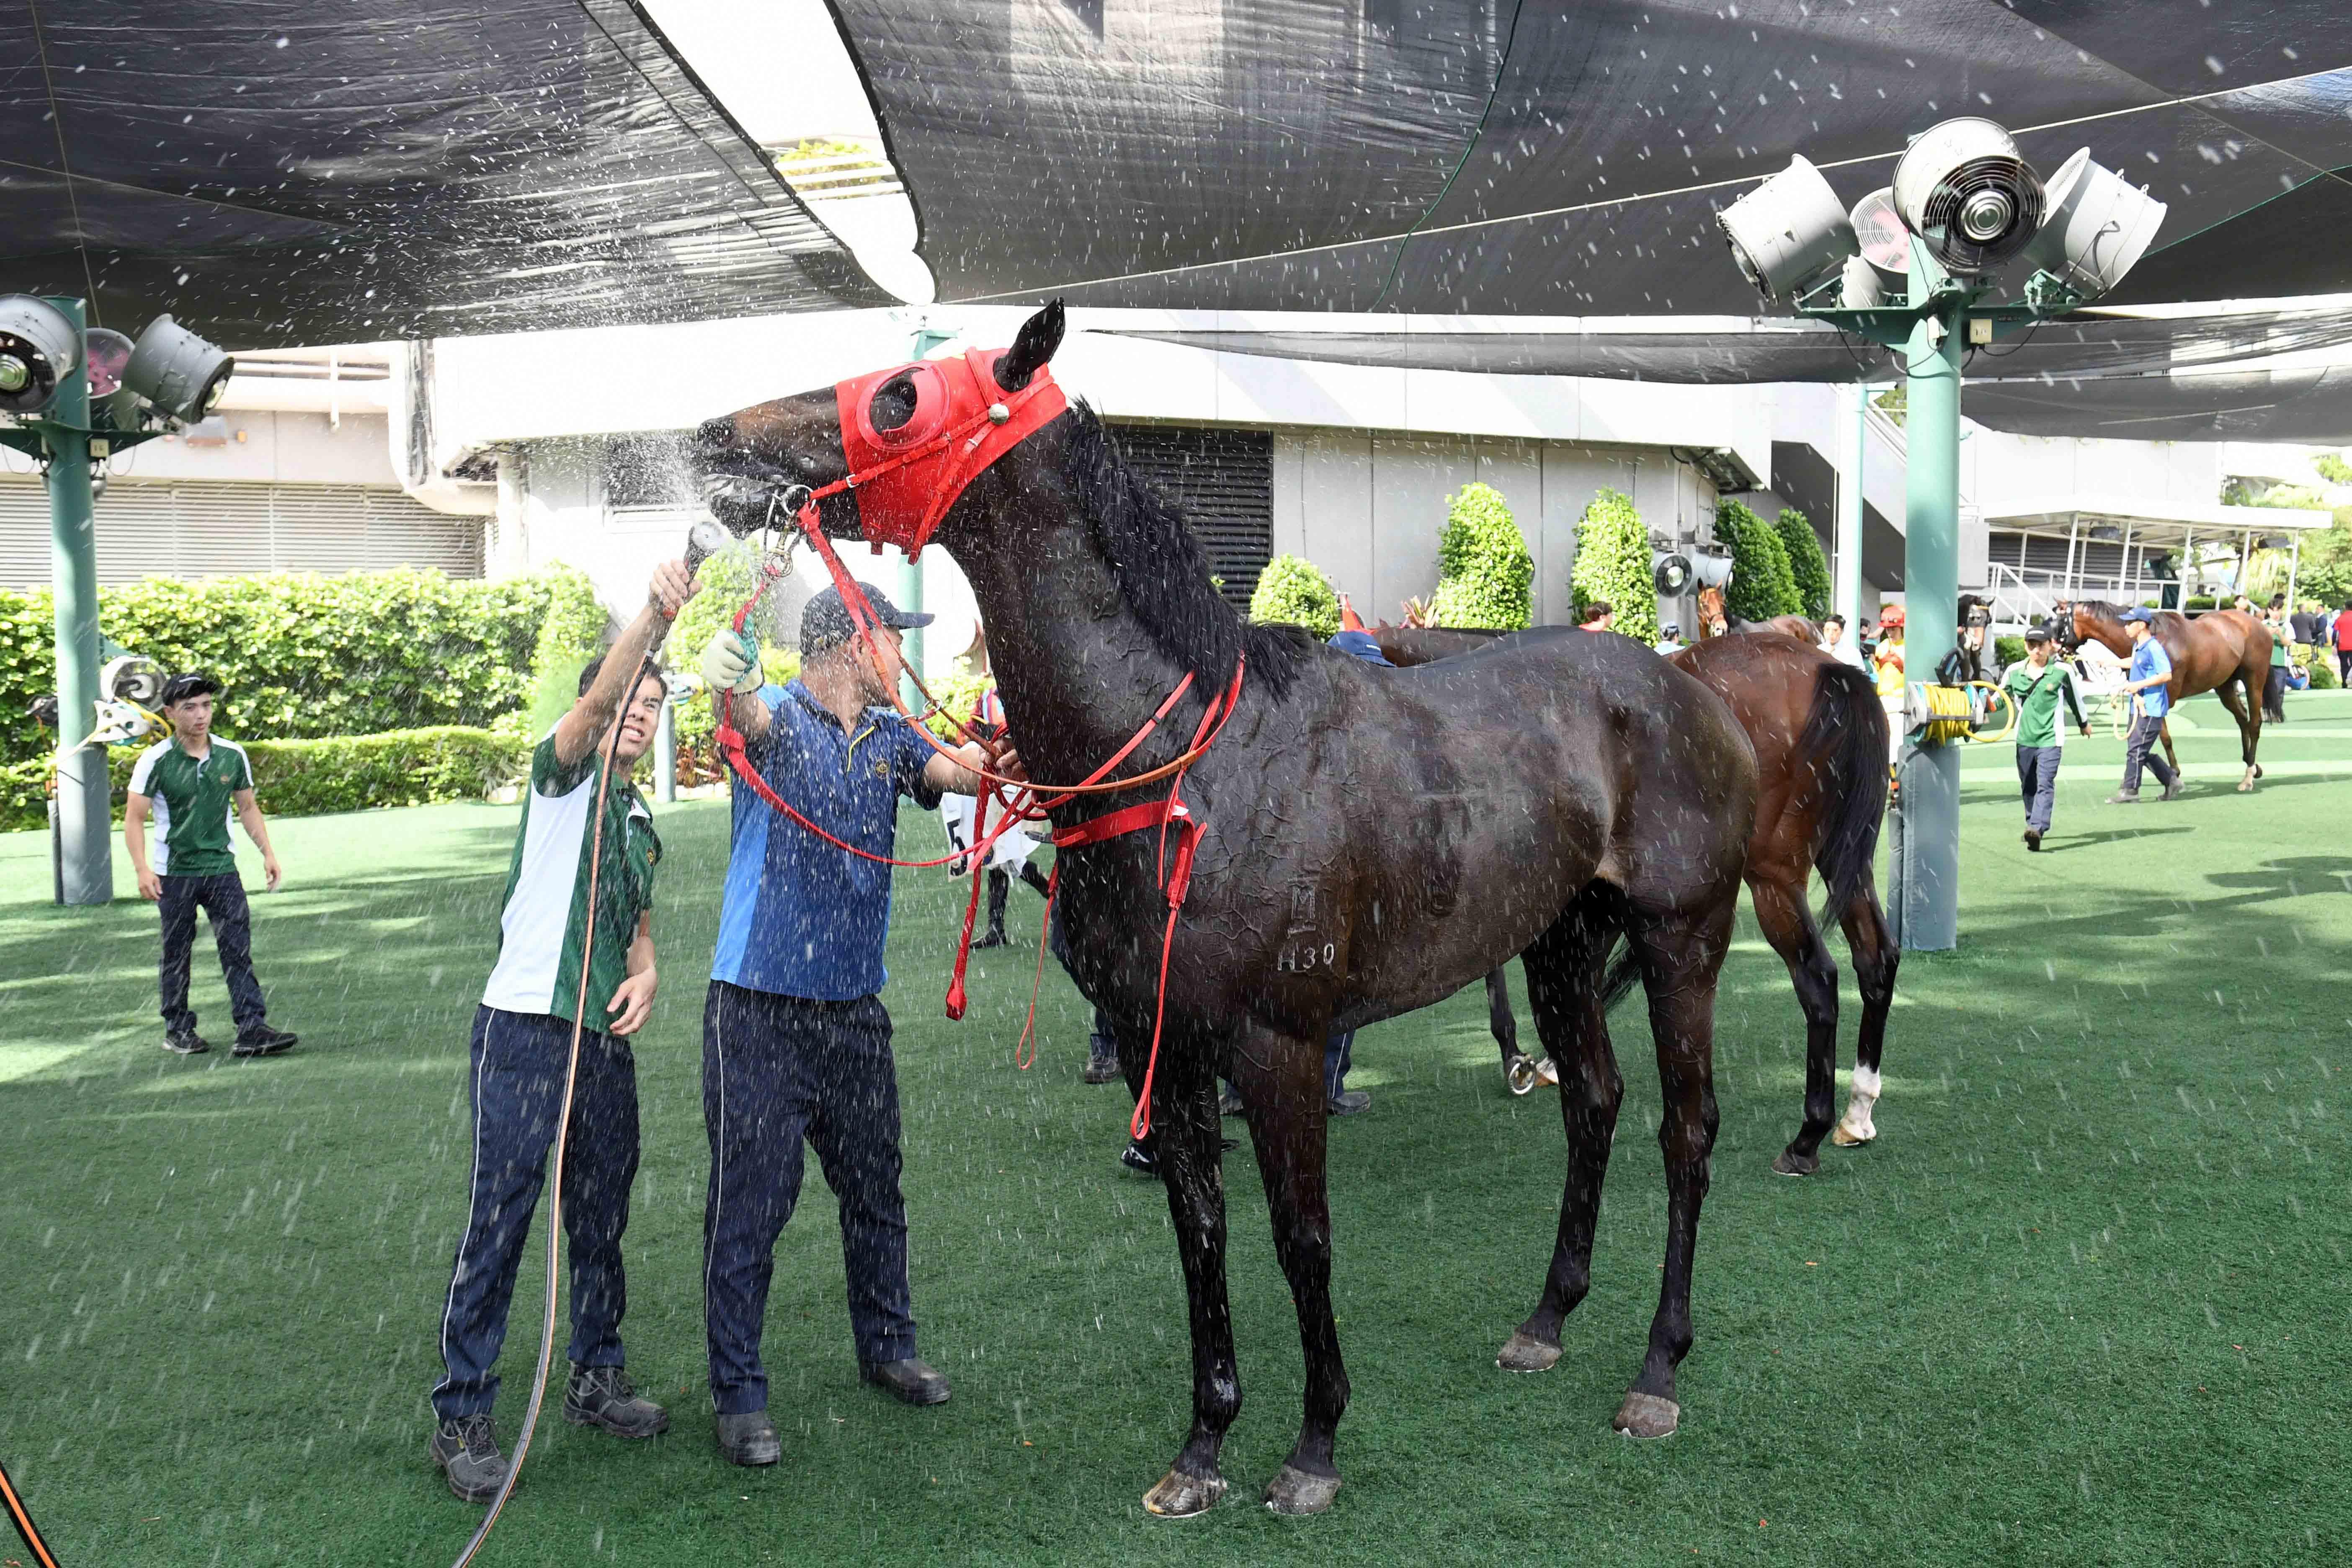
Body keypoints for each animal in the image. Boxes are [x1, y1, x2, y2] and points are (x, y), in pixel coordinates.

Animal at [694, 303, 1759, 1517]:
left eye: (900, 397)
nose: (717, 440)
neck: (1185, 763)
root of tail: (1697, 688)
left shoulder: (1280, 1042)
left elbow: (1302, 1237)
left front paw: (1314, 1444)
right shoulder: (1165, 1039)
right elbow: (1200, 1229)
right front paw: (1203, 1443)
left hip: (1683, 937)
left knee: (1685, 1129)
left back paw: (1657, 1369)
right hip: (1562, 942)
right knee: (1594, 1101)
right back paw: (1546, 1318)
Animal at [1379, 627, 1896, 1172]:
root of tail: (1828, 670)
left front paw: (1519, 1055)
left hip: (1772, 874)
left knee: (1818, 977)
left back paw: (1807, 1137)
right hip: (1843, 858)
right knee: (1876, 957)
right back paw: (1857, 1110)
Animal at [2051, 599, 2271, 790]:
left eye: (2058, 623)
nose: (2056, 651)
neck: (2154, 640)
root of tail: (2258, 625)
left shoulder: (2165, 699)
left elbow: (2163, 737)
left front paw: (2174, 773)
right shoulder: (2139, 696)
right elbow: (2138, 736)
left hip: (2254, 681)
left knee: (2255, 724)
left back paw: (2249, 777)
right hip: (2223, 685)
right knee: (2242, 718)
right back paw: (2253, 766)